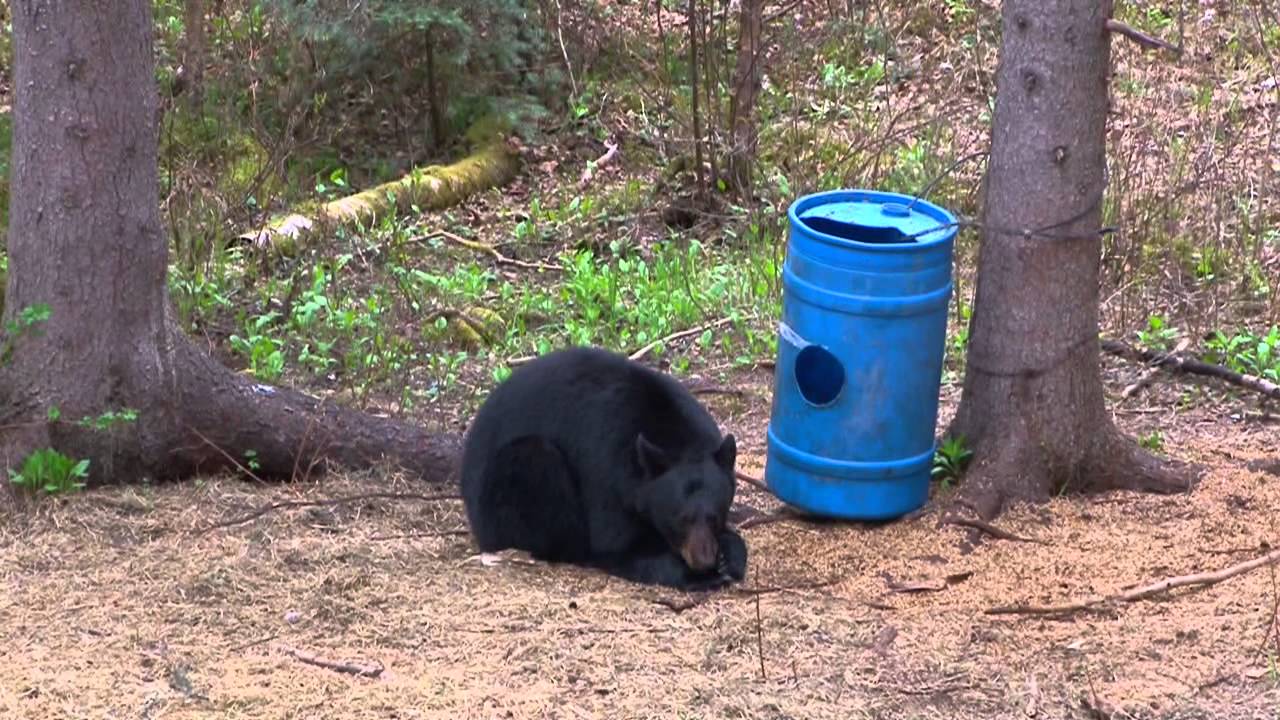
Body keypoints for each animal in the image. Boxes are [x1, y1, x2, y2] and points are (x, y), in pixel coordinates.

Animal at [460, 345, 748, 591]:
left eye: (714, 516)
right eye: (680, 519)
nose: (703, 561)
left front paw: (729, 555)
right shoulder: (606, 466)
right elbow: (617, 544)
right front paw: (700, 575)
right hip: (502, 493)